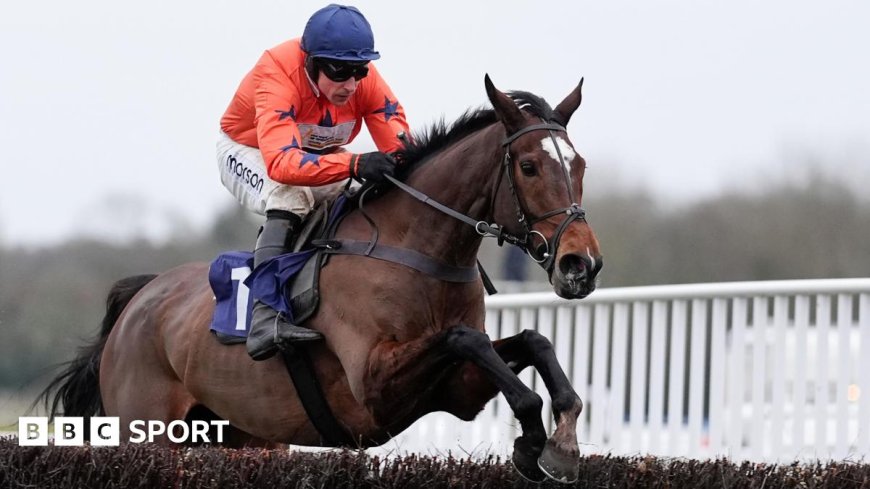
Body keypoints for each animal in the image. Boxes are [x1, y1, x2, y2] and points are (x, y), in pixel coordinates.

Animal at [41, 75, 602, 483]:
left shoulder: (456, 392)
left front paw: (560, 443)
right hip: (147, 431)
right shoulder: (373, 387)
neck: (415, 250)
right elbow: (467, 339)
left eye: (580, 166)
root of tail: (140, 297)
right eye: (528, 166)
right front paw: (535, 440)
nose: (581, 263)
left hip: (247, 435)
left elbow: (530, 340)